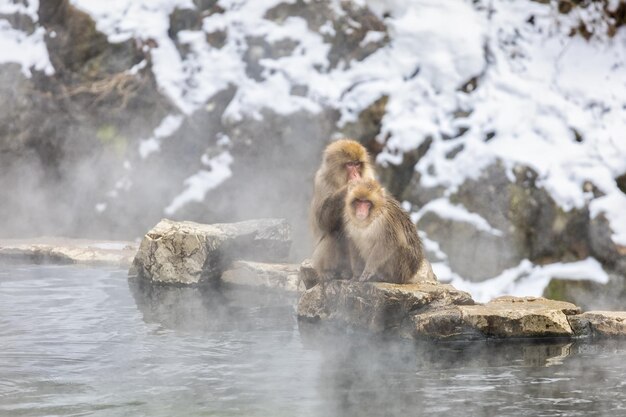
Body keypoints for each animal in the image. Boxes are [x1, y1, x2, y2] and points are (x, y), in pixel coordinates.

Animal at [310, 139, 372, 280]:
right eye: (349, 164)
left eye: (357, 164)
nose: (355, 174)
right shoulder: (321, 181)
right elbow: (322, 221)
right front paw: (348, 188)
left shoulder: (370, 178)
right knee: (333, 233)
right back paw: (327, 272)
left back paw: (347, 272)